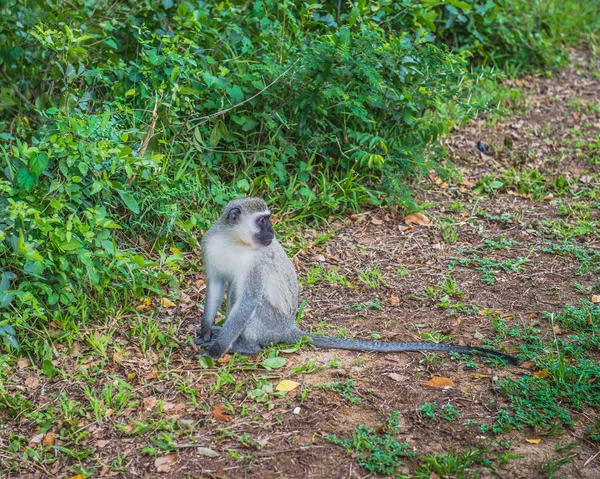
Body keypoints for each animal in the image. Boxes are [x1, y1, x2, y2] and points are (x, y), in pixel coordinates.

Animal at [195, 197, 516, 366]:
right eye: (262, 221)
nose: (272, 232)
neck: (234, 241)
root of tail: (290, 328)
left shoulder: (257, 261)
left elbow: (248, 298)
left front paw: (218, 348)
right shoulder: (210, 244)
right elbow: (216, 284)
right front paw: (207, 331)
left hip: (272, 325)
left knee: (247, 302)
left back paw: (245, 346)